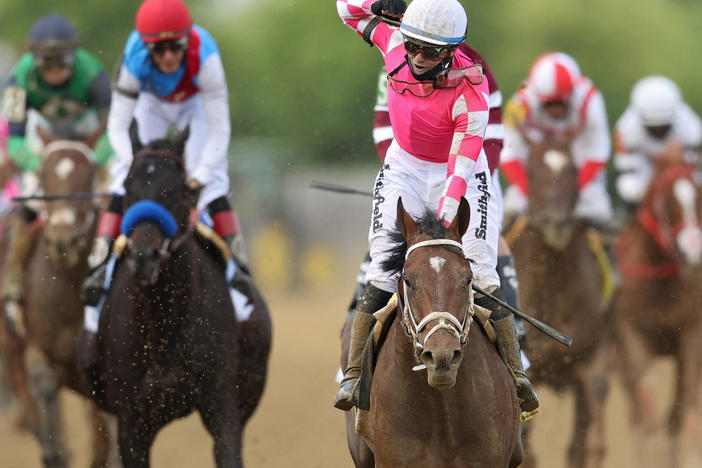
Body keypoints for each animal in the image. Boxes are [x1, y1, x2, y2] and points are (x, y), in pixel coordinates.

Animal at [0, 137, 117, 466]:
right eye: (43, 175)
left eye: (88, 176)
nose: (65, 240)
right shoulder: (34, 343)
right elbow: (41, 381)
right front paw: (54, 451)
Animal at [616, 160, 702, 464]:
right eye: (665, 201)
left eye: (699, 197)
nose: (692, 251)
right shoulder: (630, 332)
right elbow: (644, 403)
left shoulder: (690, 334)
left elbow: (684, 405)